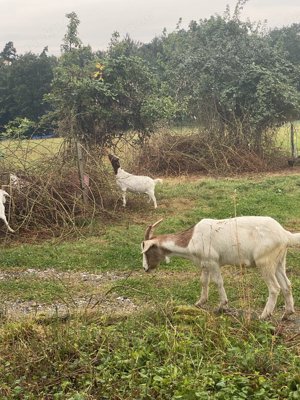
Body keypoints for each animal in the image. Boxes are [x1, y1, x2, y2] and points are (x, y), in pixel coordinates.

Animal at [141, 217, 300, 320]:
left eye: (146, 251)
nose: (145, 268)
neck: (191, 239)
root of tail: (285, 234)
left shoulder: (213, 261)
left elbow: (218, 282)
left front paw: (222, 306)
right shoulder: (205, 263)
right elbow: (203, 281)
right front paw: (200, 302)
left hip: (265, 261)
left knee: (274, 288)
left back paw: (264, 315)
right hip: (279, 261)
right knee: (286, 285)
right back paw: (287, 313)